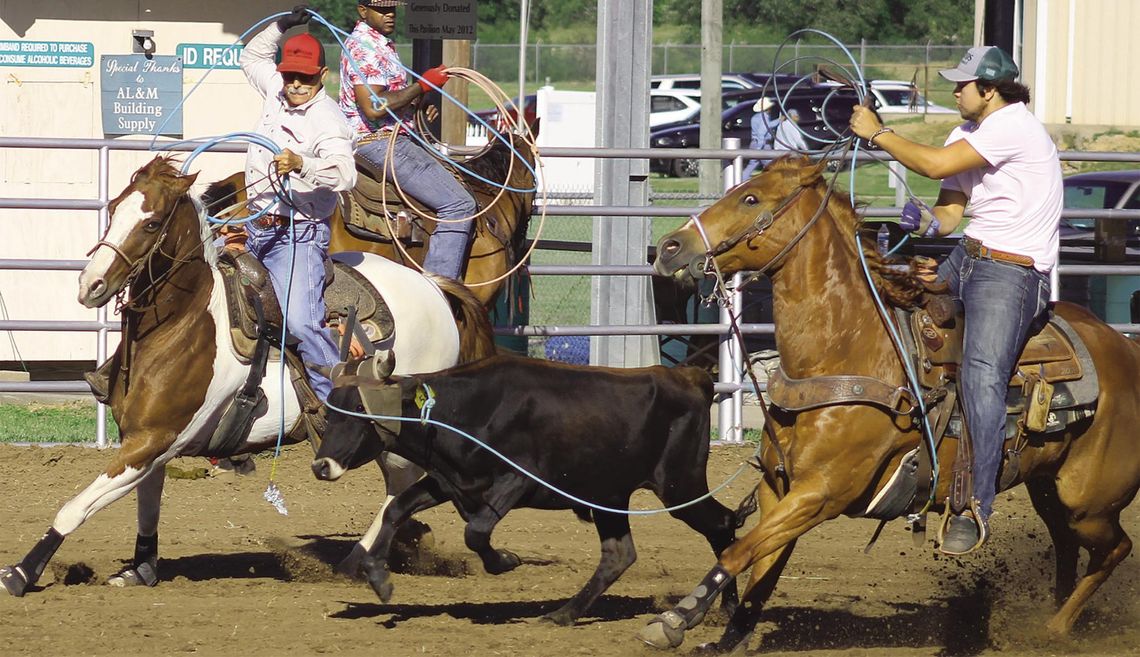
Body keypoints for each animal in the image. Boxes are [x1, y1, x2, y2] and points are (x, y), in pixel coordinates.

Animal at [1, 156, 499, 597]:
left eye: (151, 223)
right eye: (114, 209)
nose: (91, 286)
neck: (186, 323)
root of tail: (434, 288)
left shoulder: (154, 440)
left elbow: (75, 508)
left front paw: (21, 574)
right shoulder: (148, 441)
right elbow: (147, 506)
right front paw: (141, 569)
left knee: (401, 486)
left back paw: (359, 560)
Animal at [638, 155, 1140, 652]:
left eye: (751, 198)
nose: (669, 247)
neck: (846, 351)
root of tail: (1125, 348)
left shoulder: (821, 492)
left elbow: (738, 550)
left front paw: (676, 619)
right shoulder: (777, 489)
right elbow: (763, 566)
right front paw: (730, 636)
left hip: (1088, 503)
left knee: (1114, 548)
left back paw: (1053, 629)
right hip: (1048, 488)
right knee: (1068, 546)